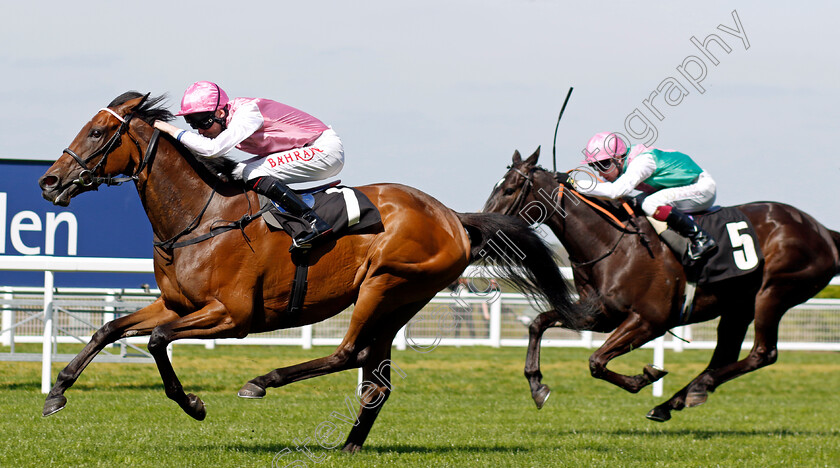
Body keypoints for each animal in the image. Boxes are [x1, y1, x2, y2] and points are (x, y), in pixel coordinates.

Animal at [37, 92, 592, 454]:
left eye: (98, 132)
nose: (50, 181)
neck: (202, 216)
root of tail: (453, 217)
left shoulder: (231, 315)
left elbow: (155, 342)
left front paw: (193, 403)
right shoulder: (177, 304)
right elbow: (110, 329)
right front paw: (57, 392)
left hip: (384, 284)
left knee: (351, 353)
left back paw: (264, 381)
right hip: (400, 300)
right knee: (375, 377)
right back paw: (348, 445)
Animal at [480, 148, 840, 422]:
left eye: (509, 189)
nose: (483, 235)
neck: (614, 244)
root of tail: (822, 231)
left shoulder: (650, 321)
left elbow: (596, 361)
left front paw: (646, 376)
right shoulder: (598, 313)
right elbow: (539, 323)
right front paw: (537, 386)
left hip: (773, 293)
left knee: (762, 353)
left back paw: (693, 391)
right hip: (738, 306)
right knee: (724, 356)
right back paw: (677, 400)